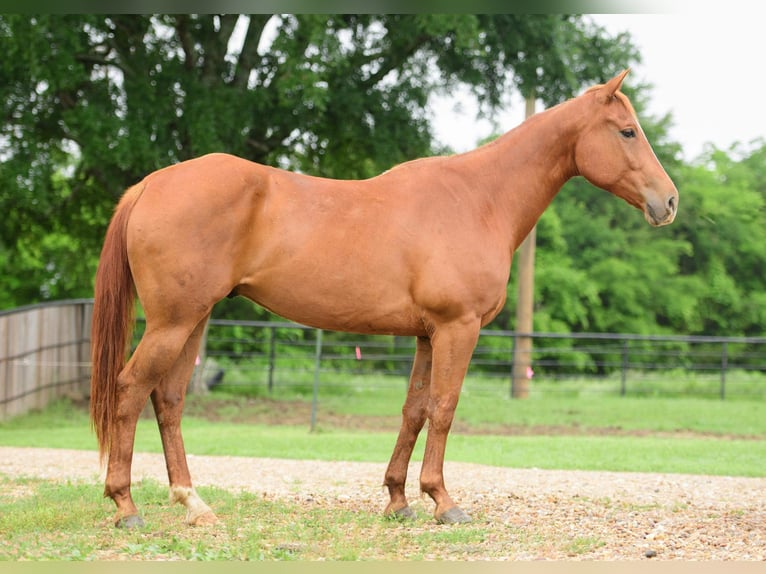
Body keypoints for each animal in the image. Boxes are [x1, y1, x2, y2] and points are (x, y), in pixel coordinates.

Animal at [88, 70, 680, 528]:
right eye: (627, 131)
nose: (669, 201)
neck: (479, 198)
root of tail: (149, 185)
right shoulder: (458, 327)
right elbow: (444, 408)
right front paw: (443, 502)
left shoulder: (427, 334)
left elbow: (414, 410)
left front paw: (398, 499)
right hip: (172, 322)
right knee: (130, 389)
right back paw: (126, 506)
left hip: (194, 320)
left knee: (168, 400)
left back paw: (194, 504)